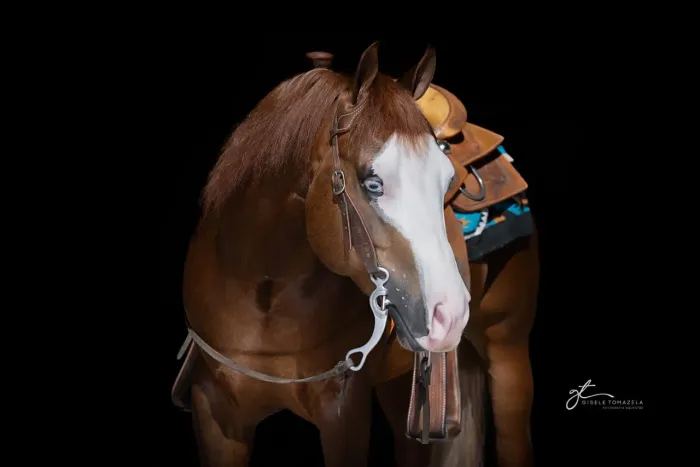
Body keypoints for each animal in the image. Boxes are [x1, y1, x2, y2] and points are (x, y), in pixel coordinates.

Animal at [172, 41, 539, 467]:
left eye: (447, 180)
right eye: (373, 183)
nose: (449, 314)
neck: (262, 295)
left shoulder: (343, 413)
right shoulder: (214, 412)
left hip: (507, 353)